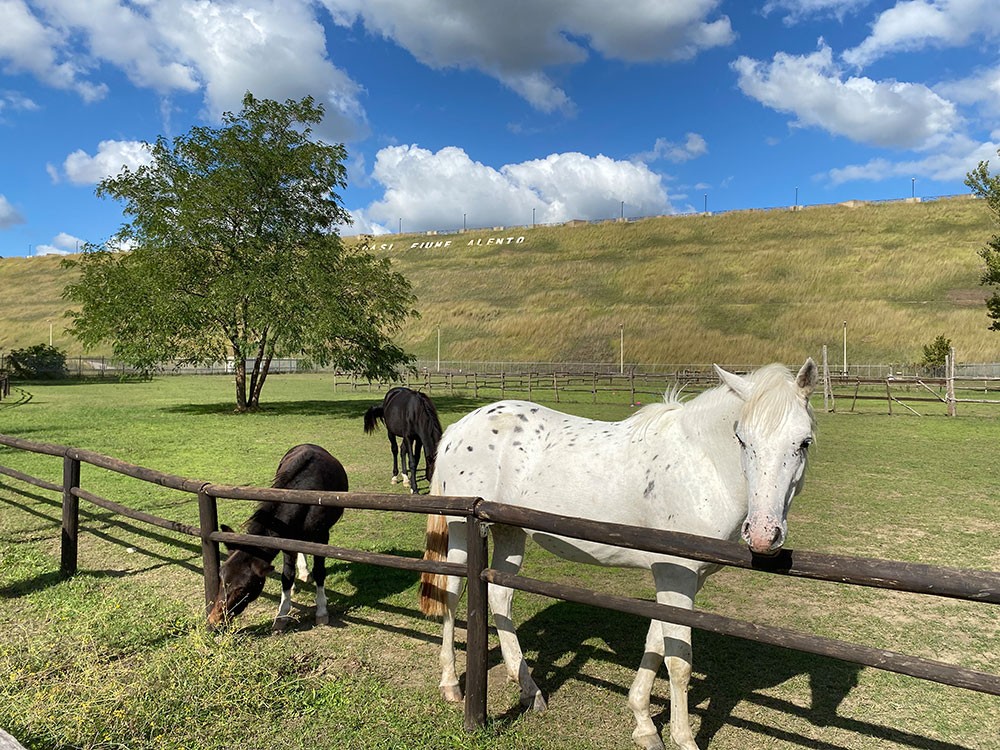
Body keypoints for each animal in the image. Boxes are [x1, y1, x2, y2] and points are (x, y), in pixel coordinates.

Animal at [206, 446, 348, 636]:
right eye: (220, 577)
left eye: (242, 588)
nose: (214, 620)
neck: (303, 497)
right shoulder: (286, 540)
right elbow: (287, 576)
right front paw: (282, 615)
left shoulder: (322, 538)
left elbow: (319, 572)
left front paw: (321, 610)